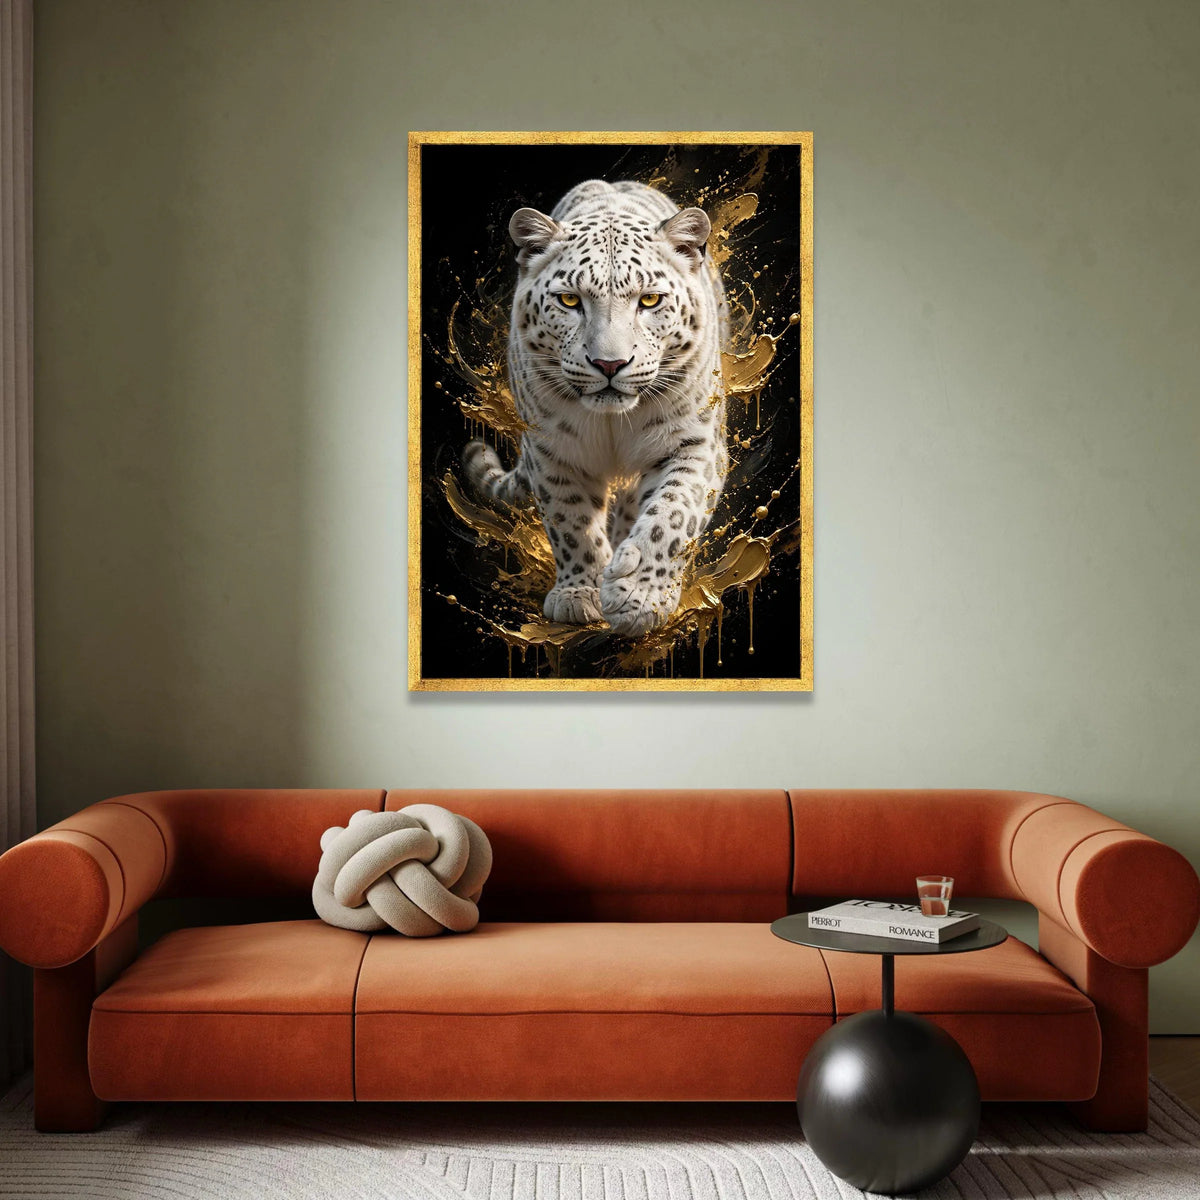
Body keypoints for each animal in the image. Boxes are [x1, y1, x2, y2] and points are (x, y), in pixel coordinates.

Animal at [463, 178, 729, 637]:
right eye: (570, 301)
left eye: (650, 300)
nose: (609, 364)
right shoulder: (551, 451)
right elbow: (570, 522)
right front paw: (579, 594)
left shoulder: (696, 445)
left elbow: (672, 515)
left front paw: (638, 598)